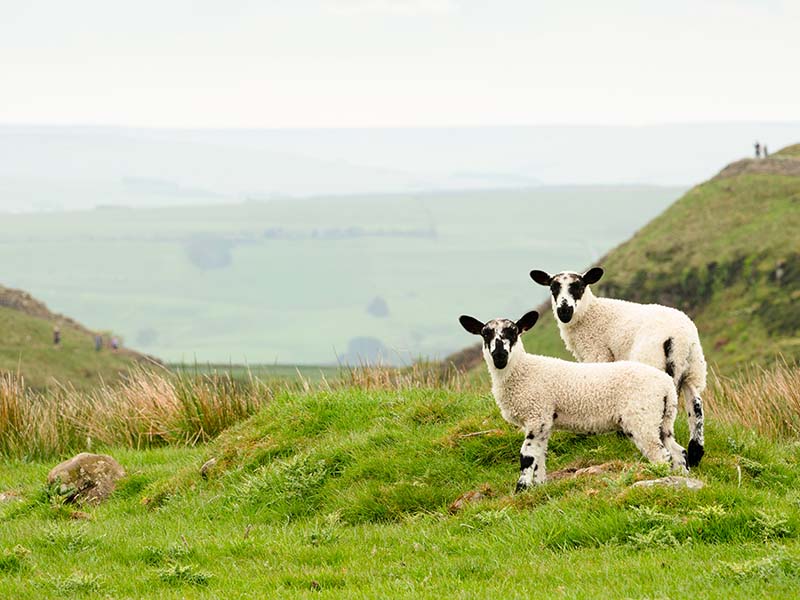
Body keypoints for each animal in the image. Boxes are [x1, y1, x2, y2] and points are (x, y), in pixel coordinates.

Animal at [459, 310, 687, 491]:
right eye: (485, 333)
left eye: (513, 332)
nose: (499, 355)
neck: (523, 371)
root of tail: (666, 385)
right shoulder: (543, 422)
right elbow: (539, 456)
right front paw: (539, 486)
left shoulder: (537, 414)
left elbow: (527, 455)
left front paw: (521, 489)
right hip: (662, 419)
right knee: (678, 451)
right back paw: (682, 477)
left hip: (642, 417)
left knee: (661, 454)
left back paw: (660, 478)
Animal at [529, 267, 707, 467]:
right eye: (553, 288)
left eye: (579, 287)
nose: (564, 311)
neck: (589, 314)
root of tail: (679, 338)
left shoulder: (597, 353)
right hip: (694, 369)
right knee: (696, 405)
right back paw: (695, 453)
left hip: (651, 362)